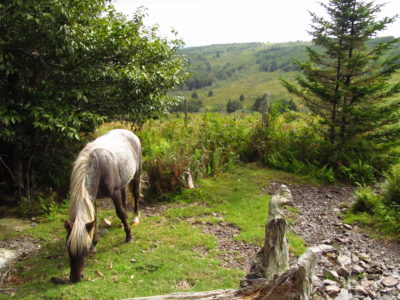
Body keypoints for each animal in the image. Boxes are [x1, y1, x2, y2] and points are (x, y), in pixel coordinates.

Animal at [64, 128, 142, 282]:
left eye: (84, 250)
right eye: (68, 248)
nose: (75, 278)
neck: (97, 166)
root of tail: (129, 132)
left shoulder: (114, 193)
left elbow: (120, 212)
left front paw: (129, 236)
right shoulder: (92, 198)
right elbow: (94, 219)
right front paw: (95, 243)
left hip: (136, 175)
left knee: (135, 196)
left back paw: (135, 218)